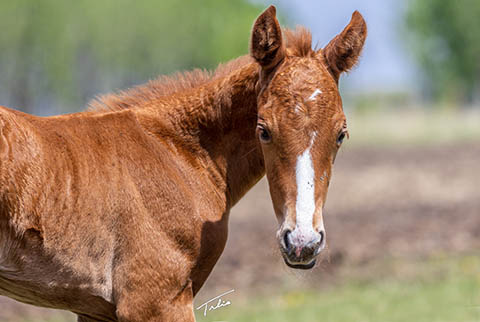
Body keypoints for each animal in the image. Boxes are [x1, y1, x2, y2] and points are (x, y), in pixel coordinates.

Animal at [0, 5, 364, 322]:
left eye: (341, 134)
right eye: (263, 130)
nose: (303, 243)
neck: (177, 152)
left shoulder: (96, 310)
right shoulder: (155, 299)